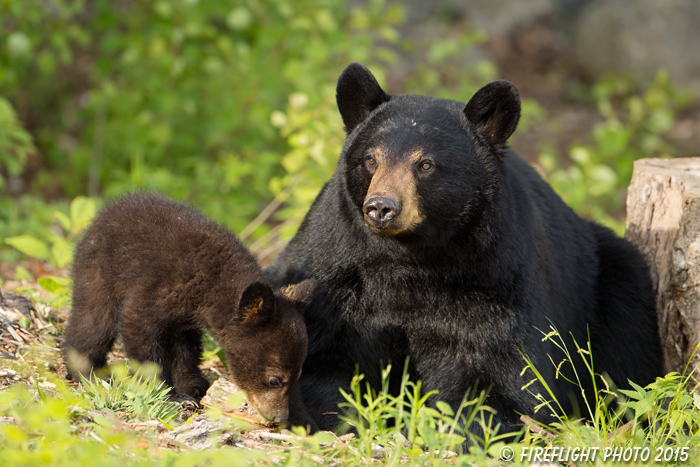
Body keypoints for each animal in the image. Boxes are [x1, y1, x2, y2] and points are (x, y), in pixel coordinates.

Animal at [65, 191, 318, 428]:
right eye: (274, 380)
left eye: (297, 376)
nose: (280, 417)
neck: (212, 283)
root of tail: (103, 213)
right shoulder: (159, 287)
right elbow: (138, 327)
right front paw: (170, 396)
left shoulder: (185, 317)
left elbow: (186, 347)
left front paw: (191, 385)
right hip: (99, 274)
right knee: (94, 321)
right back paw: (86, 371)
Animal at [264, 63, 660, 436]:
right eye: (370, 159)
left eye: (425, 164)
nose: (381, 207)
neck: (410, 260)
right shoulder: (332, 268)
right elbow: (317, 357)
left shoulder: (495, 283)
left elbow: (504, 384)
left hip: (616, 282)